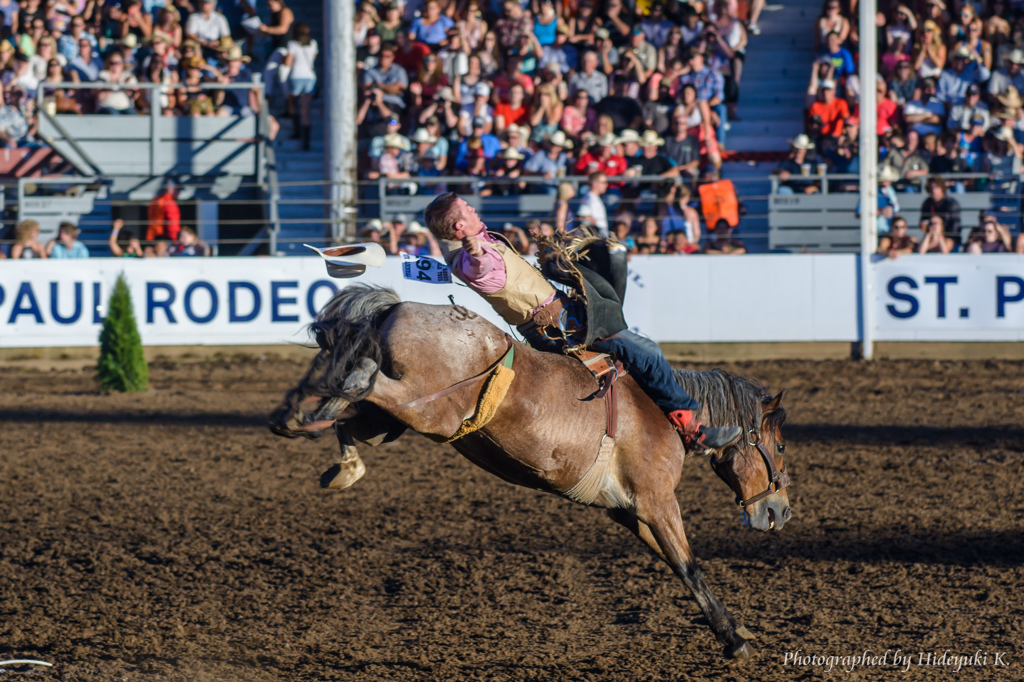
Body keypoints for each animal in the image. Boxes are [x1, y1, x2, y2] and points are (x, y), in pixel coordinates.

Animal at [270, 282, 790, 659]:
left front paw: (736, 628)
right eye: (780, 445)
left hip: (392, 423)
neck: (662, 412)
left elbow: (677, 565)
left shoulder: (628, 511)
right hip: (426, 413)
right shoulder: (657, 500)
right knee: (361, 383)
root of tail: (396, 308)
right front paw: (735, 640)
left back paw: (309, 431)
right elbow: (689, 565)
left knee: (342, 406)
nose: (780, 512)